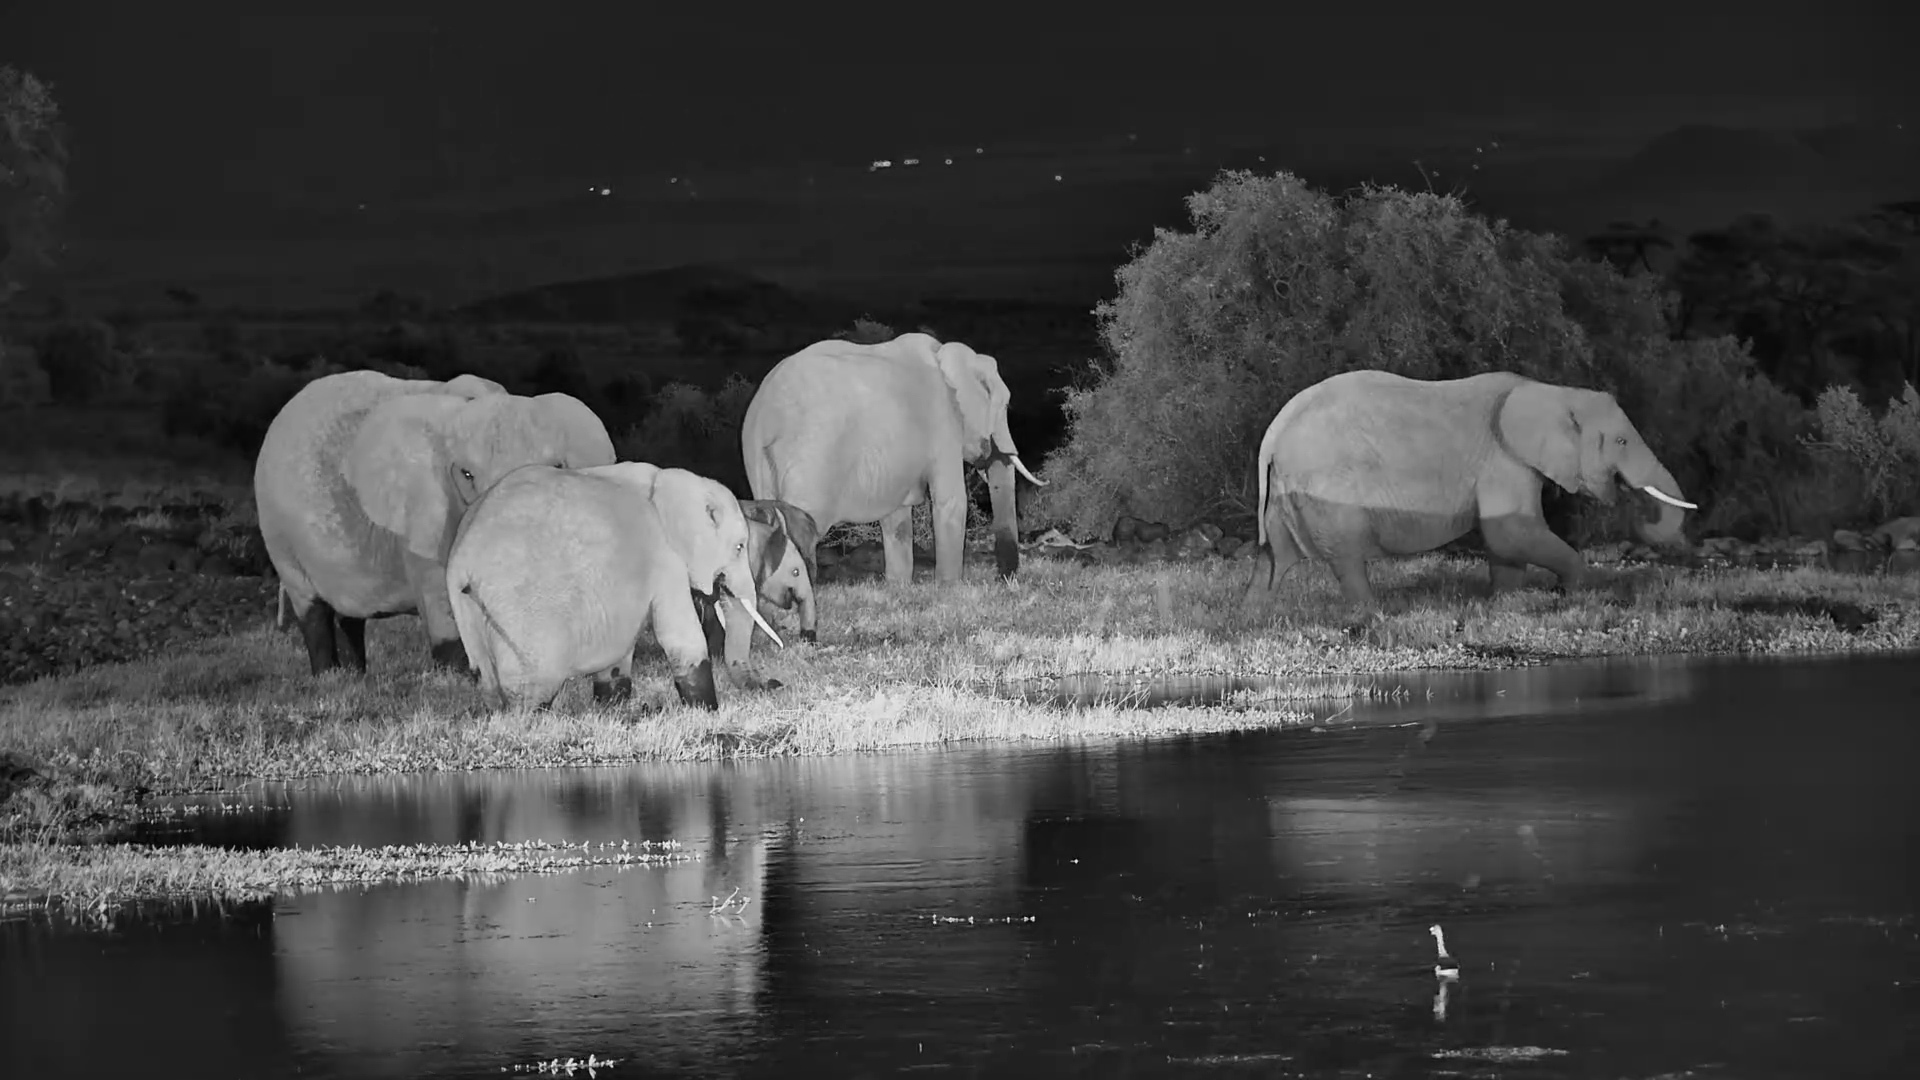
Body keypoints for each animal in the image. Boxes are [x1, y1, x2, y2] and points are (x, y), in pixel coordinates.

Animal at [253, 369, 617, 677]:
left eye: (557, 467)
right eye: (466, 475)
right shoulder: (424, 510)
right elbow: (441, 588)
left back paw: (355, 678)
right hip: (277, 528)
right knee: (311, 606)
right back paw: (329, 677)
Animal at [445, 462, 784, 712]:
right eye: (739, 547)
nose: (775, 685)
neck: (672, 480)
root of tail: (462, 561)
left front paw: (613, 705)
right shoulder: (665, 558)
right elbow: (680, 636)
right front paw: (708, 711)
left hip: (467, 610)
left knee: (484, 675)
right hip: (523, 617)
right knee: (534, 686)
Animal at [739, 331, 1047, 590]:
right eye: (1005, 405)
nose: (1003, 579)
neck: (950, 356)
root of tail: (767, 412)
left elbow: (896, 517)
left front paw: (898, 588)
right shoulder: (943, 424)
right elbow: (951, 501)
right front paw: (950, 589)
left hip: (756, 457)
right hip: (812, 457)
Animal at [1242, 370, 1697, 619]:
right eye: (1620, 441)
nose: (1632, 503)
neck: (1552, 390)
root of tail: (1273, 432)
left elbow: (1508, 541)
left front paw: (1505, 603)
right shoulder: (1504, 458)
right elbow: (1512, 532)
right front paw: (1578, 590)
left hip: (1288, 487)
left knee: (1274, 556)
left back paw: (1255, 613)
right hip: (1327, 485)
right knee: (1347, 557)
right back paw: (1372, 614)